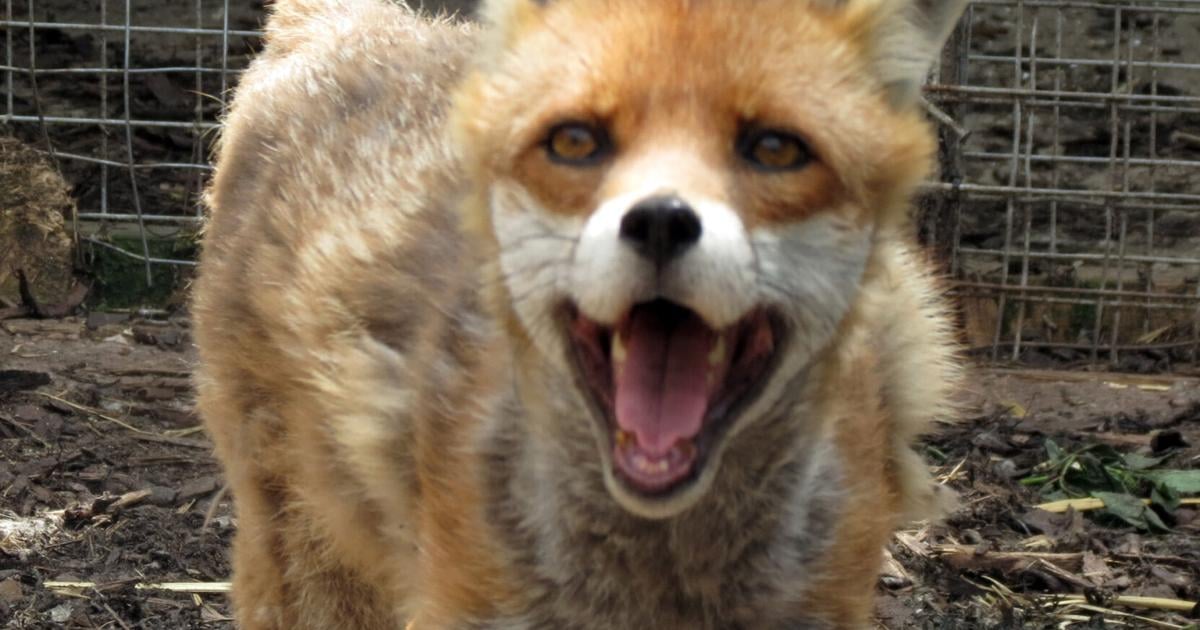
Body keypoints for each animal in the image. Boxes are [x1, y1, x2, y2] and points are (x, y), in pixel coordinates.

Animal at [191, 0, 966, 628]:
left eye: (775, 149)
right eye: (575, 143)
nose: (661, 220)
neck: (662, 578)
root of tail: (355, 24)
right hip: (297, 532)